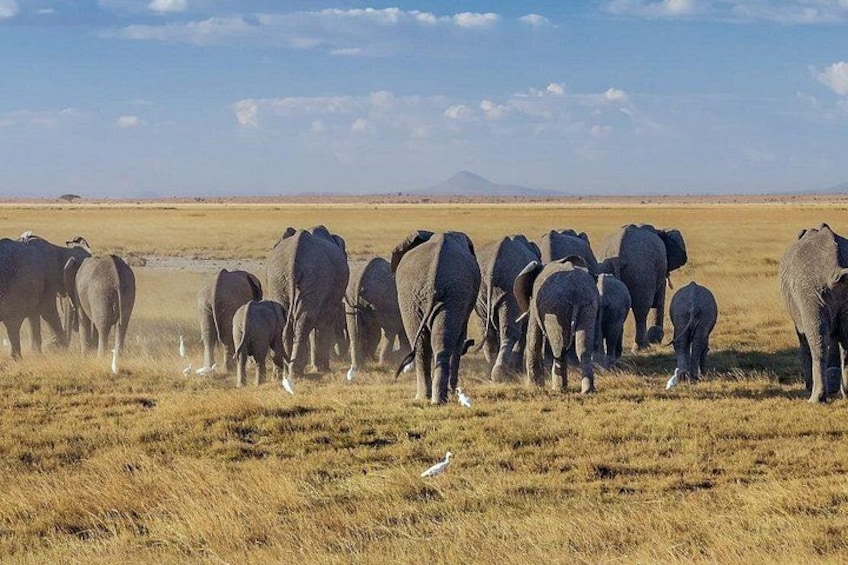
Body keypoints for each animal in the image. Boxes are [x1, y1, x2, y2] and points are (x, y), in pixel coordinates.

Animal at [265, 225, 349, 380]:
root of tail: (293, 259)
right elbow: (325, 321)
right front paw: (323, 369)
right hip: (315, 277)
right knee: (306, 320)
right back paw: (294, 372)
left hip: (278, 278)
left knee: (288, 319)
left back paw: (281, 373)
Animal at [391, 231, 481, 405]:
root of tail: (433, 279)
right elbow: (459, 339)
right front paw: (454, 391)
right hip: (449, 295)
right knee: (439, 342)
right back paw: (437, 399)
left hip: (416, 296)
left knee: (424, 344)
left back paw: (428, 398)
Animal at [474, 234, 541, 381]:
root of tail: (492, 268)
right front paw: (516, 371)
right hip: (510, 289)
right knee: (510, 331)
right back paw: (499, 374)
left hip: (483, 291)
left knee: (488, 332)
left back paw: (490, 374)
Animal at [514, 256, 599, 394]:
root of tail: (575, 292)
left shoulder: (535, 303)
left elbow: (533, 337)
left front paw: (535, 387)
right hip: (588, 303)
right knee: (583, 347)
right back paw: (587, 391)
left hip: (556, 304)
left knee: (559, 348)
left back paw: (558, 389)